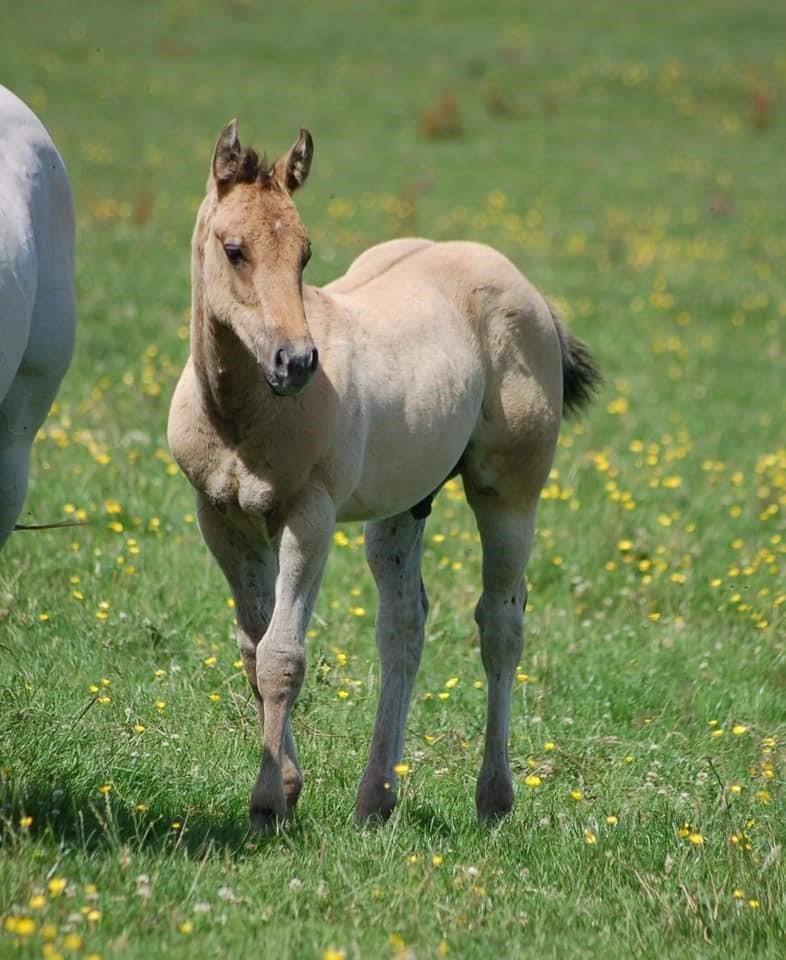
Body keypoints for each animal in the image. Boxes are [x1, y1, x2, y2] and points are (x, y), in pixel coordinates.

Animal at [168, 122, 596, 832]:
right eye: (234, 250)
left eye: (306, 254)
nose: (296, 362)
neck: (241, 414)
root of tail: (528, 290)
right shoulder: (221, 517)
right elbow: (255, 650)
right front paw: (288, 787)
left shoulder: (308, 517)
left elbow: (284, 657)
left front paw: (267, 804)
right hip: (403, 505)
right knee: (403, 625)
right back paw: (377, 799)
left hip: (509, 495)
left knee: (501, 625)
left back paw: (494, 797)